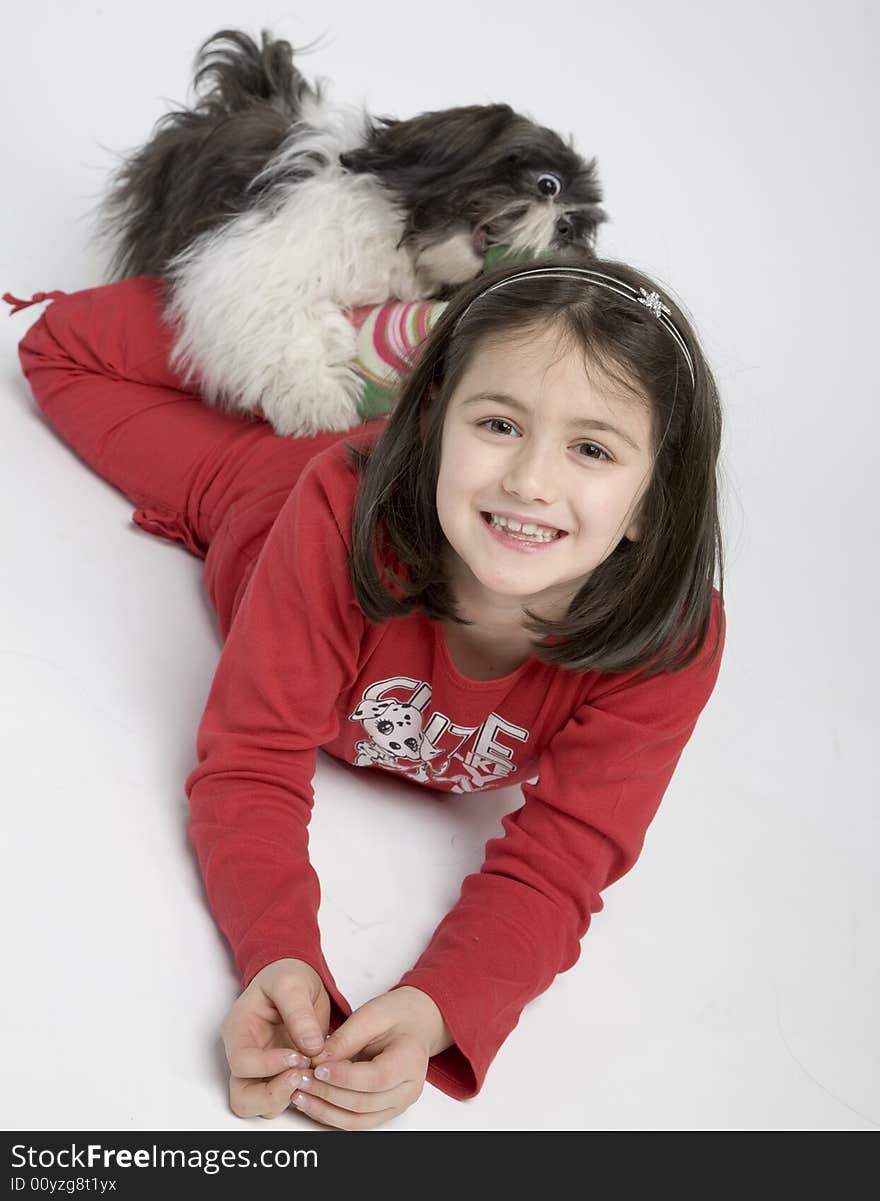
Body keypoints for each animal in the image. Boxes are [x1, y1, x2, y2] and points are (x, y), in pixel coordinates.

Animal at [92, 29, 607, 437]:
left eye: (579, 228)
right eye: (547, 184)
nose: (564, 225)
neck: (400, 237)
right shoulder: (250, 259)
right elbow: (280, 320)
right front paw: (316, 398)